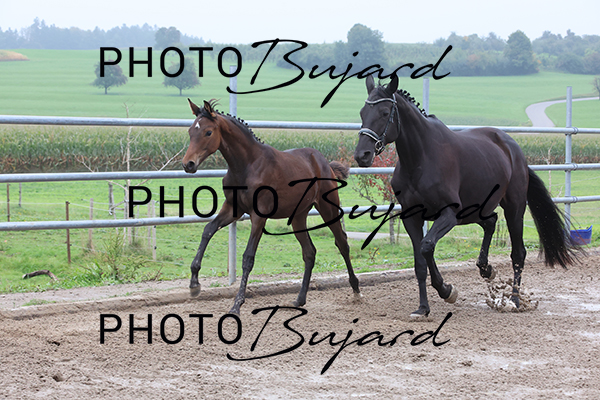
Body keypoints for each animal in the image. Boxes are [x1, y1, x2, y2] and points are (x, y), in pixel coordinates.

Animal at [182, 99, 361, 315]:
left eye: (208, 132)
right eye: (191, 131)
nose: (188, 164)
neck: (247, 165)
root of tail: (323, 162)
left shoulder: (259, 216)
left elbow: (248, 257)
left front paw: (236, 305)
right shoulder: (233, 208)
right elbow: (208, 230)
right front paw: (194, 284)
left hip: (328, 207)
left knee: (342, 242)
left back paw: (356, 290)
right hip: (299, 216)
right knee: (309, 252)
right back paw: (299, 300)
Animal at [354, 74, 577, 318]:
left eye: (385, 113)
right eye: (362, 113)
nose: (362, 155)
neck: (421, 159)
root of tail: (513, 149)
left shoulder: (448, 215)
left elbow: (426, 246)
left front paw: (446, 290)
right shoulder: (412, 217)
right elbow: (420, 262)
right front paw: (423, 308)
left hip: (514, 208)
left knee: (518, 253)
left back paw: (515, 301)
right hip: (473, 211)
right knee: (490, 222)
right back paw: (486, 269)